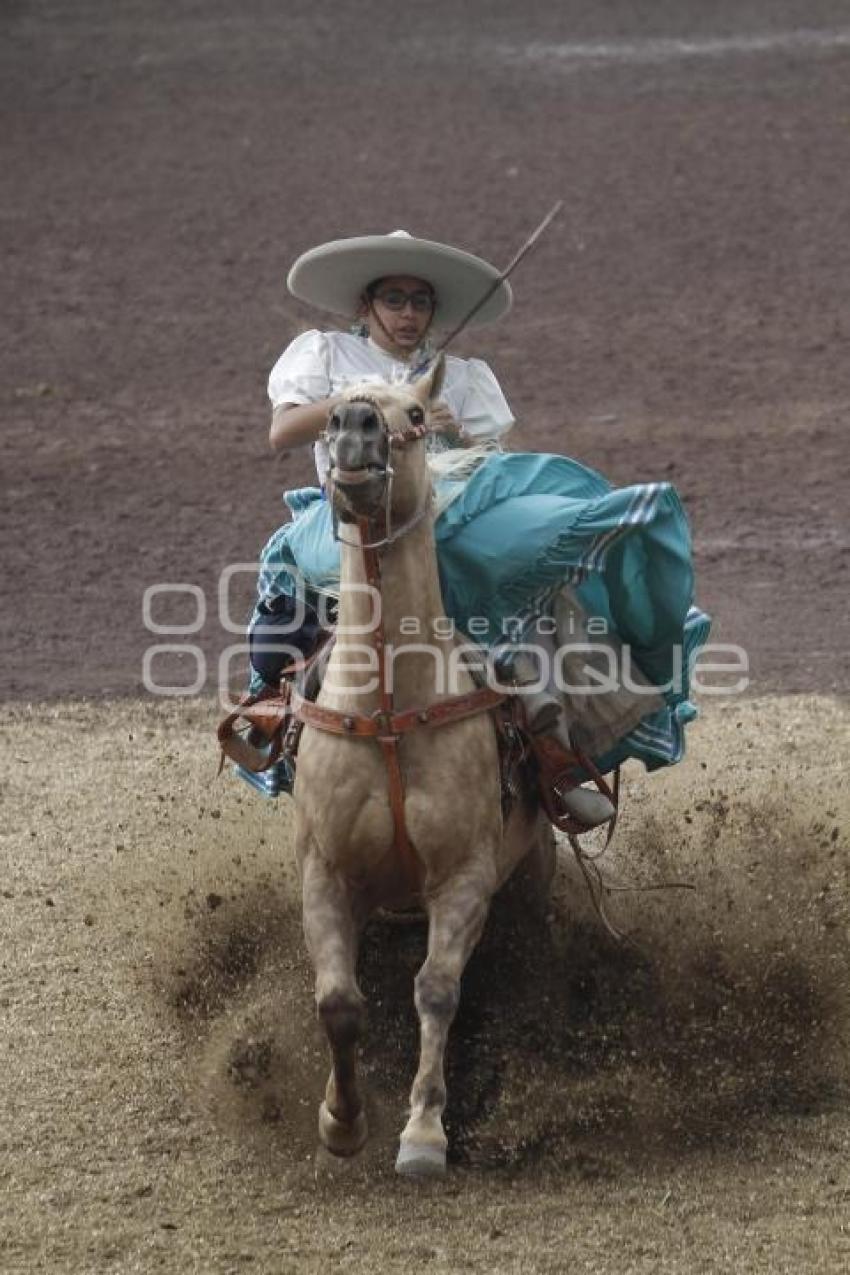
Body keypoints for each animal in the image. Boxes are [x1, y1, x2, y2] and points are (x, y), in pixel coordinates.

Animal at [293, 359, 555, 1173]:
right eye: (328, 412)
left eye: (414, 412)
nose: (354, 426)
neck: (386, 709)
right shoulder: (326, 872)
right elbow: (339, 1002)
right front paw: (342, 1118)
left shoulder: (465, 876)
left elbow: (437, 989)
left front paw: (423, 1131)